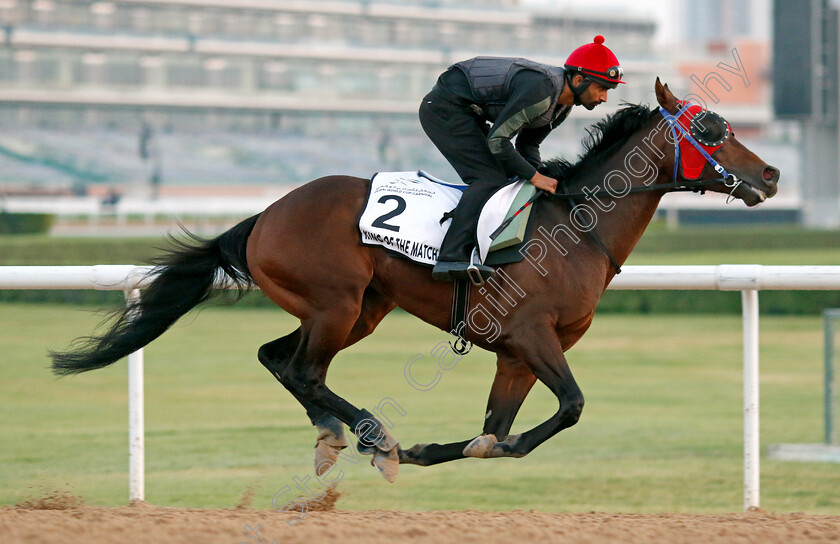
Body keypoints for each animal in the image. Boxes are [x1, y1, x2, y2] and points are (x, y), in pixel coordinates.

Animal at [50, 78, 780, 482]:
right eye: (711, 127)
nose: (772, 175)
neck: (577, 225)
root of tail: (265, 214)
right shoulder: (533, 337)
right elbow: (569, 407)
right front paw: (422, 446)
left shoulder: (517, 356)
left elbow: (499, 432)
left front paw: (444, 449)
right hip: (336, 303)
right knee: (303, 368)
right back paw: (374, 434)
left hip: (360, 309)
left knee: (279, 360)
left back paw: (336, 433)